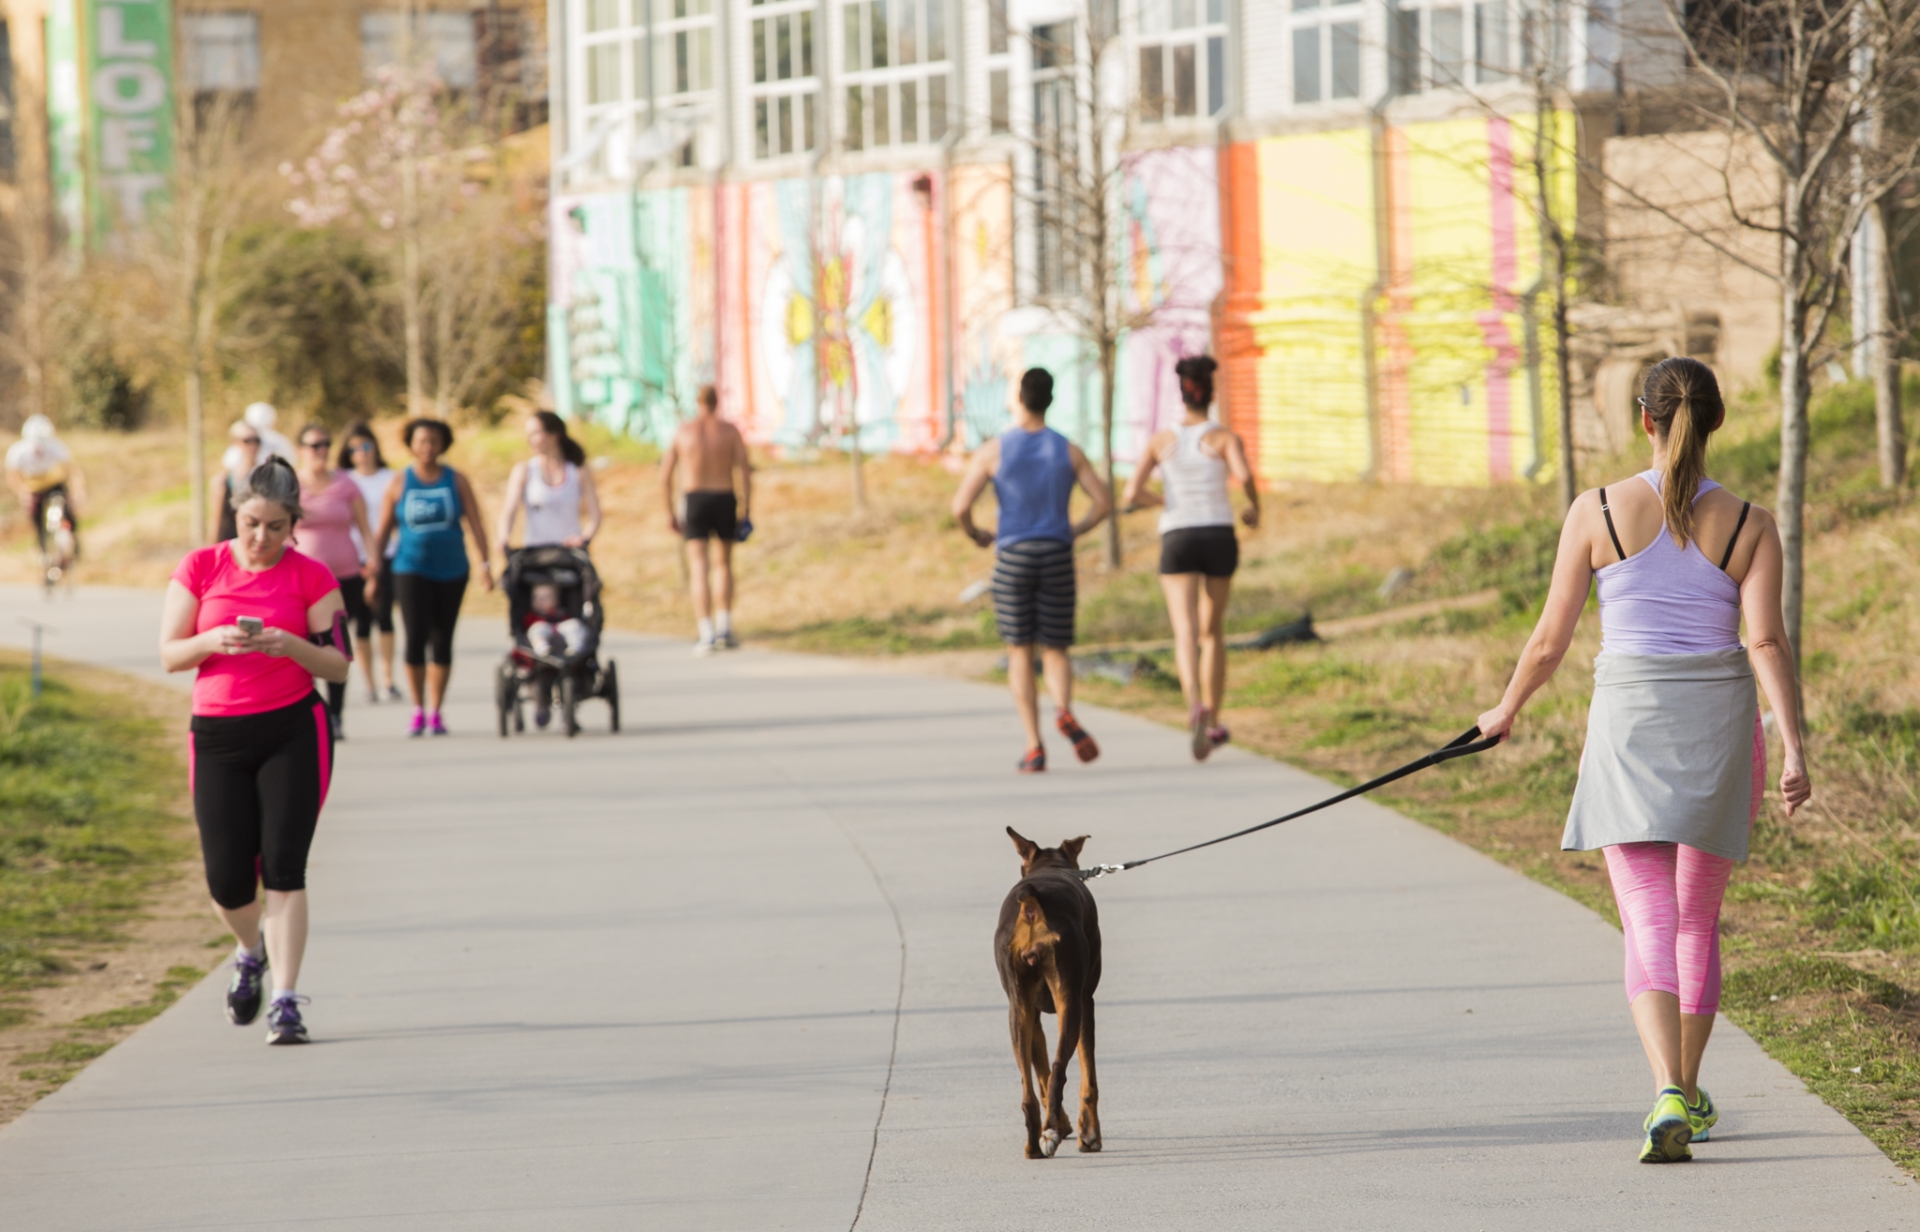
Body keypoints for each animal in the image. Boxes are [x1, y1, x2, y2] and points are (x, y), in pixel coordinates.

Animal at [998, 825, 1105, 1151]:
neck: (1052, 866)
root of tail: (1032, 907)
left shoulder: (1031, 1014)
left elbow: (1041, 1075)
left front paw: (1065, 1125)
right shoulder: (1086, 1001)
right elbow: (1087, 1077)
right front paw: (1088, 1133)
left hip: (1017, 1010)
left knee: (1030, 1092)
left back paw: (1037, 1142)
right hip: (1071, 1003)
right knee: (1060, 1070)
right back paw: (1058, 1133)